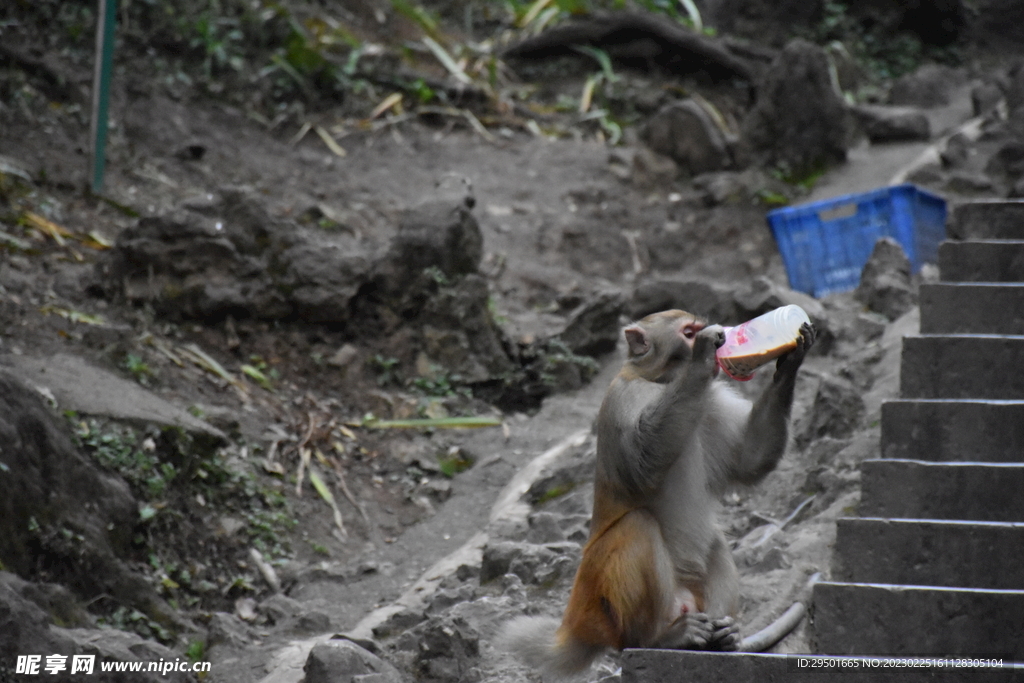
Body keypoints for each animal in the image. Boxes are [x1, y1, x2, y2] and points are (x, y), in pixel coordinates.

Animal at [501, 309, 815, 679]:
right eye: (689, 333)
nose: (720, 337)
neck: (663, 383)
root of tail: (580, 617)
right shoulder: (623, 398)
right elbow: (640, 466)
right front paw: (702, 358)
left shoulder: (711, 402)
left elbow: (749, 457)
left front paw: (790, 358)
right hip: (610, 605)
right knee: (638, 526)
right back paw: (660, 638)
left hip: (693, 598)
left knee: (713, 538)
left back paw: (723, 636)